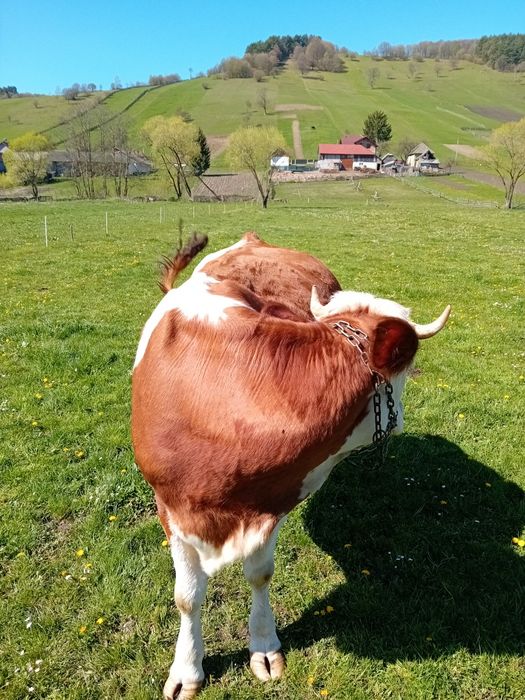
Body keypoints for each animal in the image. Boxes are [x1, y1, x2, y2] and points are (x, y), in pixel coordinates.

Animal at [131, 233, 450, 699]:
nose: (402, 418)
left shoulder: (274, 499)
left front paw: (264, 645)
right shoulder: (170, 506)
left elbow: (260, 574)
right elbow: (187, 595)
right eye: (404, 379)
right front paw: (187, 669)